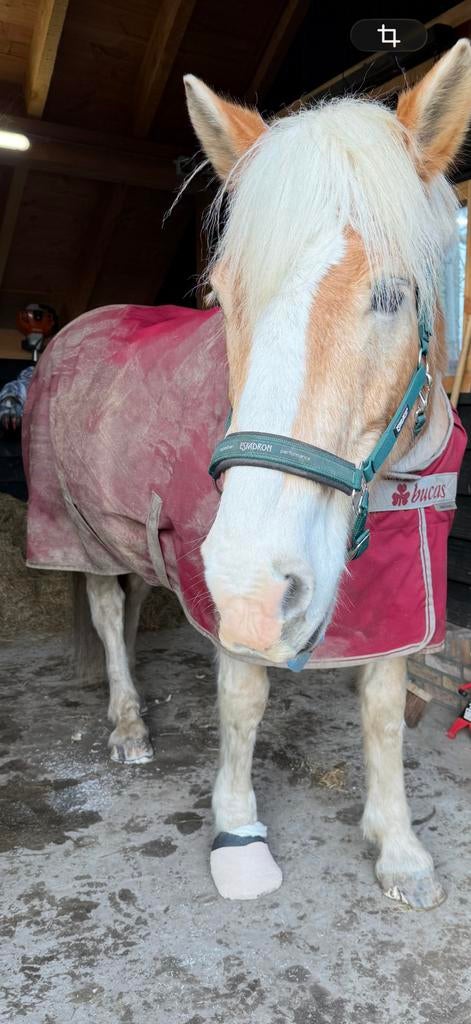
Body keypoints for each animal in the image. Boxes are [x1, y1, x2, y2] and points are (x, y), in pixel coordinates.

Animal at [23, 40, 471, 906]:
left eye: (392, 295)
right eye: (220, 294)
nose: (253, 584)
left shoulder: (407, 589)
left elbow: (381, 707)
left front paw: (398, 847)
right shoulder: (225, 586)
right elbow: (244, 696)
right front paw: (237, 833)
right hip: (78, 527)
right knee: (105, 607)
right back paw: (127, 723)